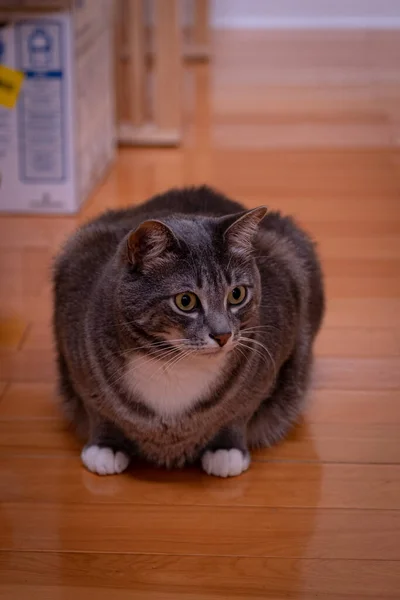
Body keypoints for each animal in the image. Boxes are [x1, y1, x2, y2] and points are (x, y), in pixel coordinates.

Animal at [52, 186, 324, 478]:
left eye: (237, 294)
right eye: (186, 301)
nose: (223, 335)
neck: (174, 363)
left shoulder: (269, 364)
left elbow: (240, 412)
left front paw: (226, 450)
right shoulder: (78, 360)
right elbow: (98, 409)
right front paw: (105, 447)